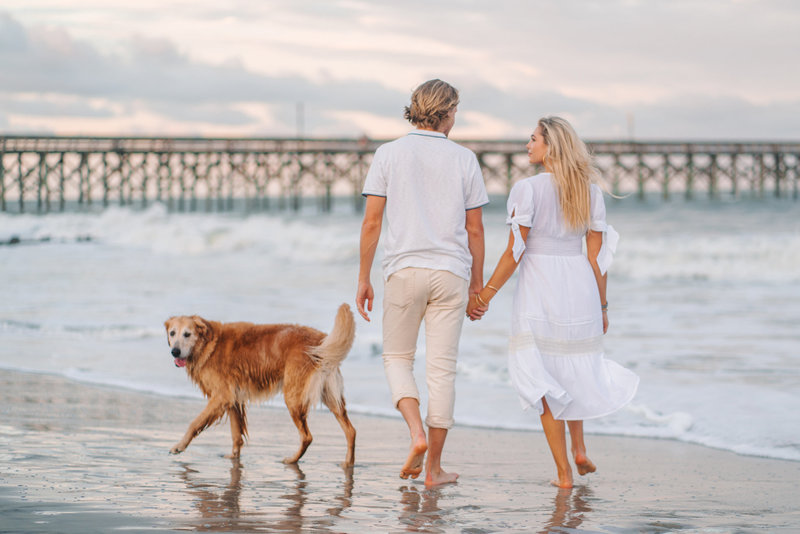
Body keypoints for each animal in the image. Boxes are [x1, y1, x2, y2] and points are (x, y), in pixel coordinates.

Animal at [166, 304, 356, 466]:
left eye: (187, 334)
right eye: (172, 333)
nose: (174, 351)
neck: (208, 345)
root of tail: (321, 341)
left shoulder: (221, 396)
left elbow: (195, 423)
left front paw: (179, 446)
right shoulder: (233, 399)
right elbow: (236, 433)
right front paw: (234, 457)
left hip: (293, 397)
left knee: (307, 437)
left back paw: (292, 460)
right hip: (332, 397)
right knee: (350, 431)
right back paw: (348, 463)